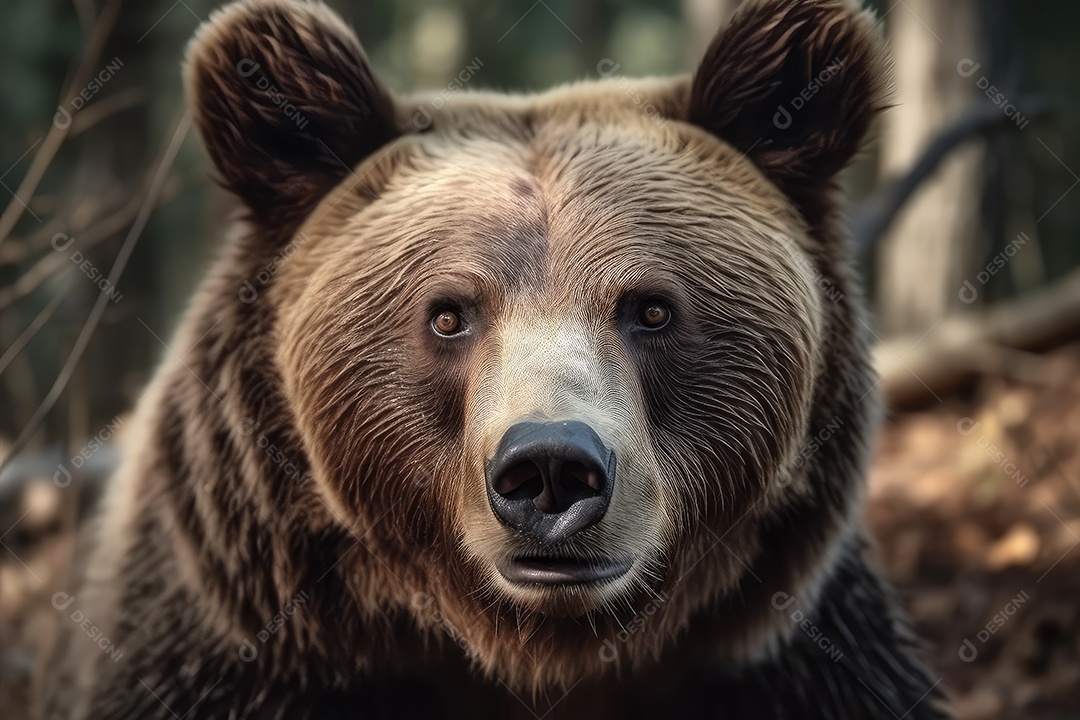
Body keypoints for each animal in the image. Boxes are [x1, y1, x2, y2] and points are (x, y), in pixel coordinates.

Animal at [44, 0, 949, 718]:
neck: (531, 653)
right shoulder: (244, 657)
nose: (550, 469)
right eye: (448, 314)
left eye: (652, 308)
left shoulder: (792, 665)